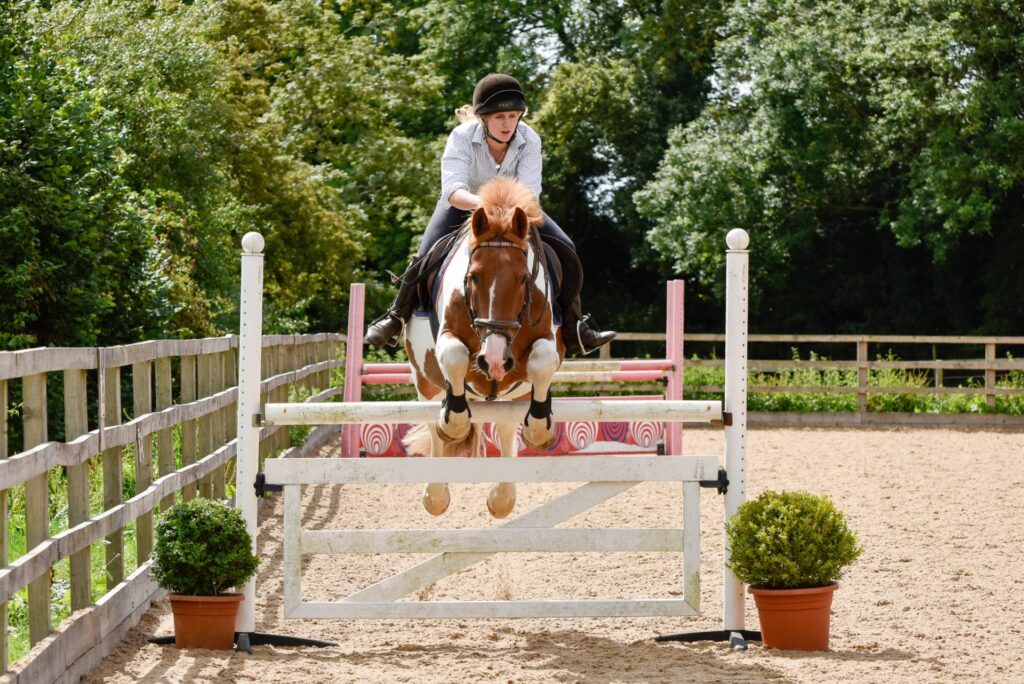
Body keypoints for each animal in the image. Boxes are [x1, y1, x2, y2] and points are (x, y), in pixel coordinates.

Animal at [401, 176, 565, 518]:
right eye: (473, 277)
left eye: (523, 279)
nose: (494, 361)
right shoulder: (447, 340)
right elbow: (455, 357)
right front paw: (455, 423)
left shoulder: (546, 340)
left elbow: (542, 361)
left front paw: (539, 430)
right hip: (424, 381)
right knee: (433, 425)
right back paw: (435, 496)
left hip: (514, 394)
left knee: (505, 427)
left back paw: (502, 499)